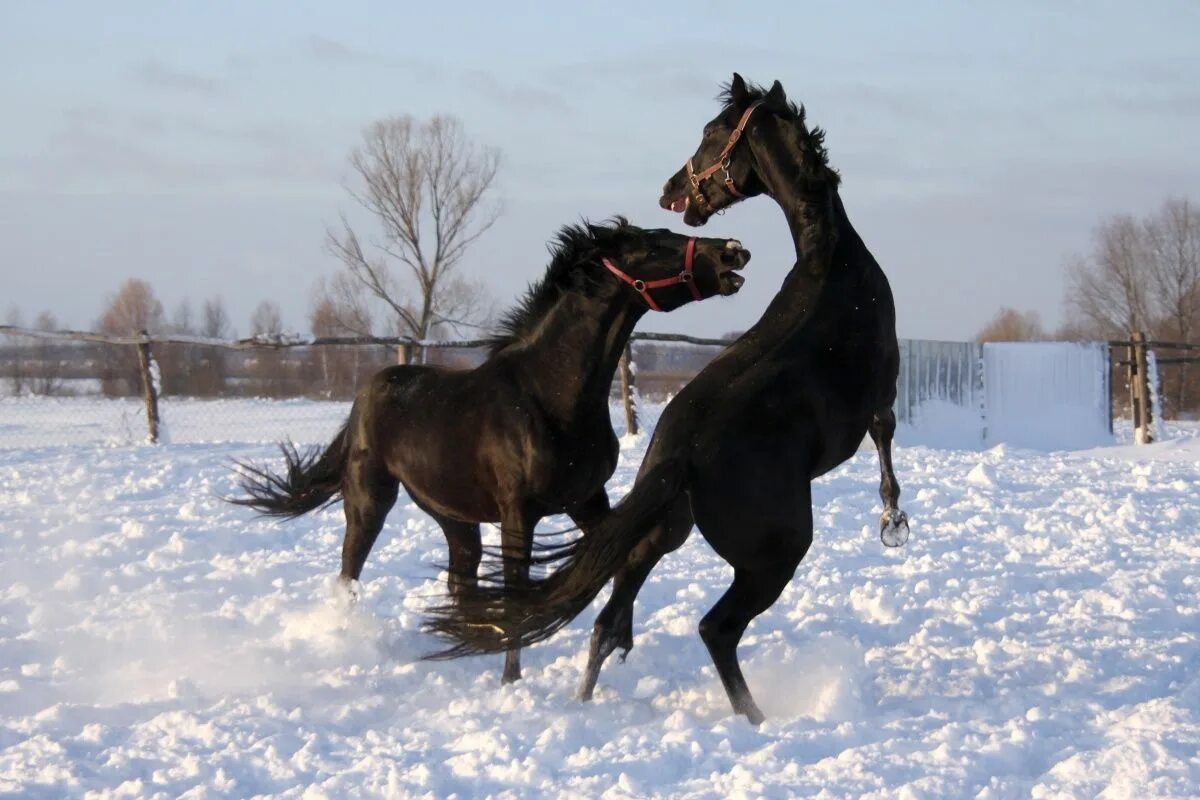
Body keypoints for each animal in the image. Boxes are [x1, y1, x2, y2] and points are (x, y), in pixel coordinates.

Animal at [231, 217, 748, 681]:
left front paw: (616, 642)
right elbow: (518, 589)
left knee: (459, 579)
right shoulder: (519, 512)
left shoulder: (586, 499)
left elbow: (623, 550)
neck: (550, 397)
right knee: (350, 570)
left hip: (455, 518)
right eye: (656, 244)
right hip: (369, 500)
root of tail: (368, 392)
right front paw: (511, 681)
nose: (732, 252)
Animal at [427, 76, 902, 724]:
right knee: (714, 629)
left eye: (709, 136)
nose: (672, 191)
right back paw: (756, 719)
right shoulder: (885, 391)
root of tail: (680, 452)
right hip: (774, 553)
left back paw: (590, 696)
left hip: (665, 531)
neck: (830, 263)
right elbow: (885, 441)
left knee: (608, 618)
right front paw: (893, 517)